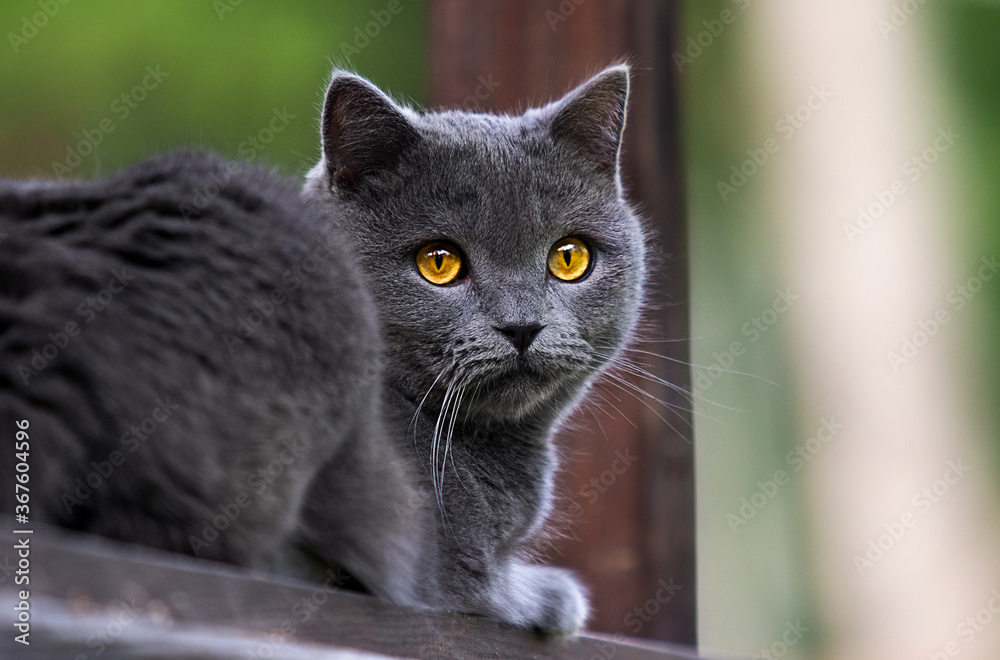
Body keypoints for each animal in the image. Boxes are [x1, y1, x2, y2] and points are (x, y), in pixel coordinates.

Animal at [0, 65, 644, 636]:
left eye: (569, 258)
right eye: (439, 262)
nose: (522, 325)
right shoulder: (442, 554)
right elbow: (476, 587)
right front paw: (558, 597)